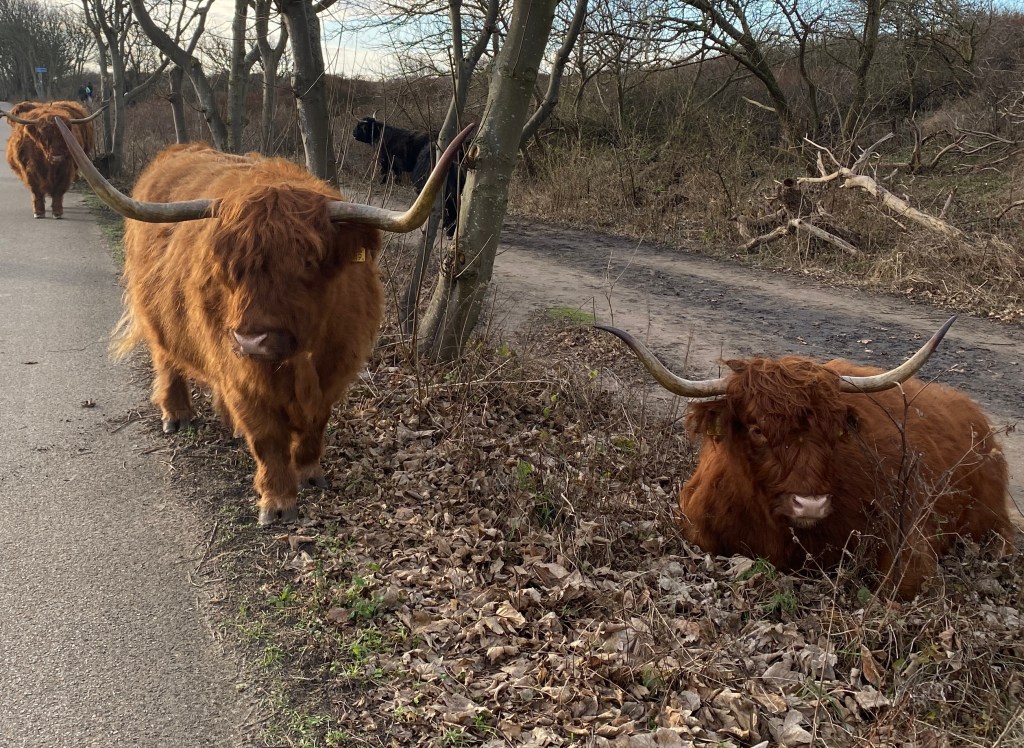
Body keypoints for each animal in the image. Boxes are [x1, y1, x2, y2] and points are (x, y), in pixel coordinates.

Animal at [55, 116, 476, 525]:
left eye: (308, 261)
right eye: (228, 266)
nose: (253, 341)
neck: (301, 358)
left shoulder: (336, 371)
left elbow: (316, 424)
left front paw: (309, 473)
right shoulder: (242, 374)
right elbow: (267, 437)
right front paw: (278, 501)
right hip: (159, 317)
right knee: (167, 360)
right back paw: (176, 415)